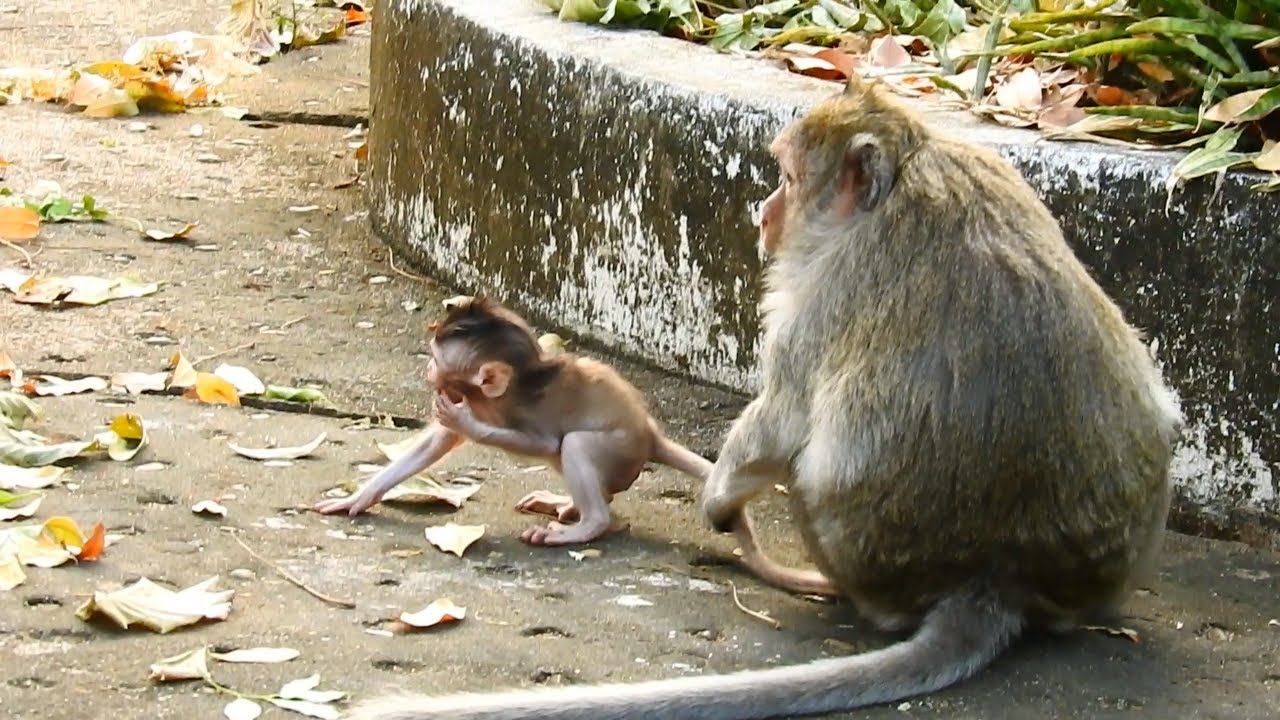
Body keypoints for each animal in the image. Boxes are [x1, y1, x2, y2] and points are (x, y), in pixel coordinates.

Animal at [314, 295, 717, 547]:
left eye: (436, 359)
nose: (427, 369)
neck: (501, 393)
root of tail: (650, 433)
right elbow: (436, 442)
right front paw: (360, 497)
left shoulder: (522, 410)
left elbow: (545, 442)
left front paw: (469, 426)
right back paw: (570, 504)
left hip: (620, 449)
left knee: (573, 444)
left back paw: (586, 525)